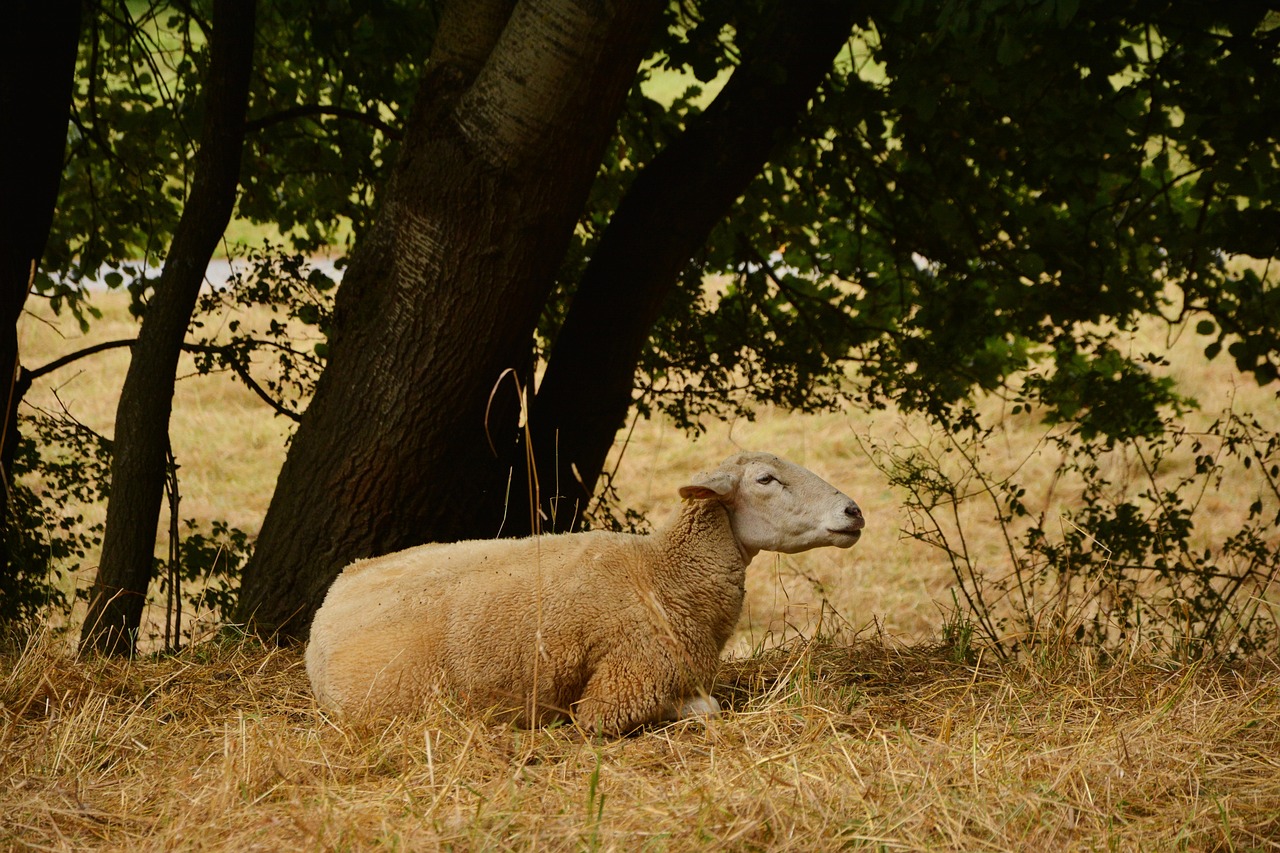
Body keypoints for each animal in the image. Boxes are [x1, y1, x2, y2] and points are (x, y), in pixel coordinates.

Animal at [304, 448, 865, 732]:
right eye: (766, 479)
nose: (854, 511)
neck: (661, 572)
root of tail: (331, 596)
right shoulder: (621, 691)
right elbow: (705, 710)